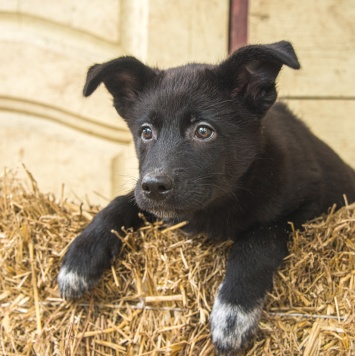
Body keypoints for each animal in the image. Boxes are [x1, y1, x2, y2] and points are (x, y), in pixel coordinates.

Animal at [58, 41, 355, 354]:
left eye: (203, 131)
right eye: (146, 132)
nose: (154, 186)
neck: (219, 203)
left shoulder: (307, 202)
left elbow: (257, 241)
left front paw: (233, 315)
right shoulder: (153, 200)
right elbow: (120, 204)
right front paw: (79, 259)